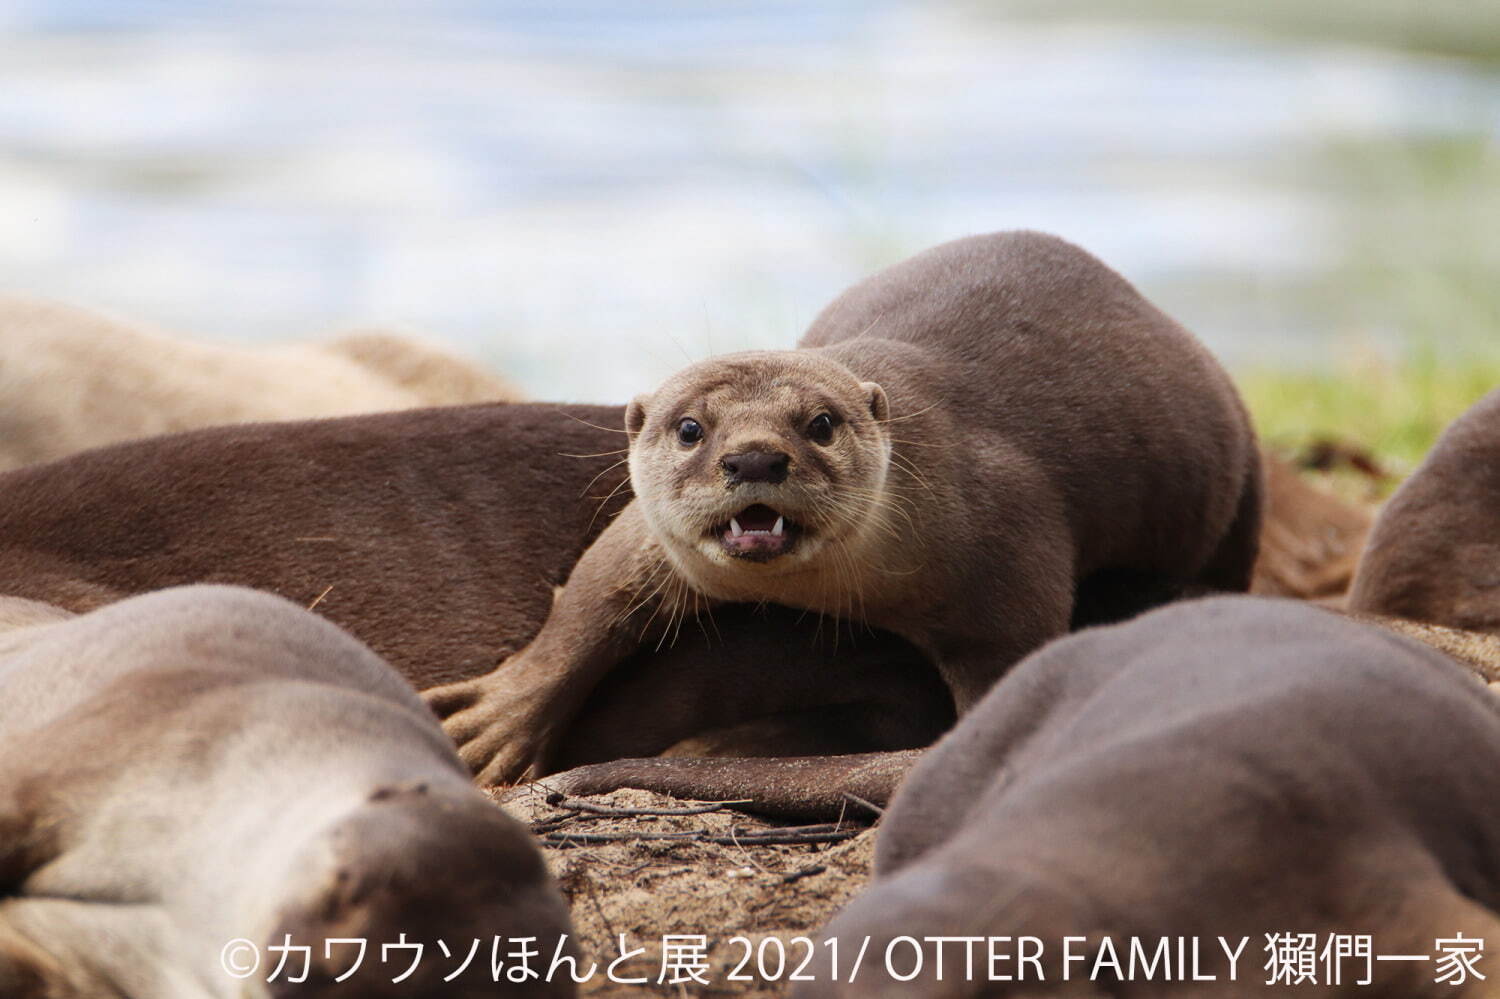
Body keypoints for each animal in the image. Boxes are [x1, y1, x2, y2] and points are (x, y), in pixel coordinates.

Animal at [435, 229, 1266, 780]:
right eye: (691, 427)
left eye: (821, 423)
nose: (756, 456)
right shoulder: (651, 539)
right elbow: (592, 595)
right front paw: (493, 722)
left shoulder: (1007, 555)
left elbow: (1014, 676)